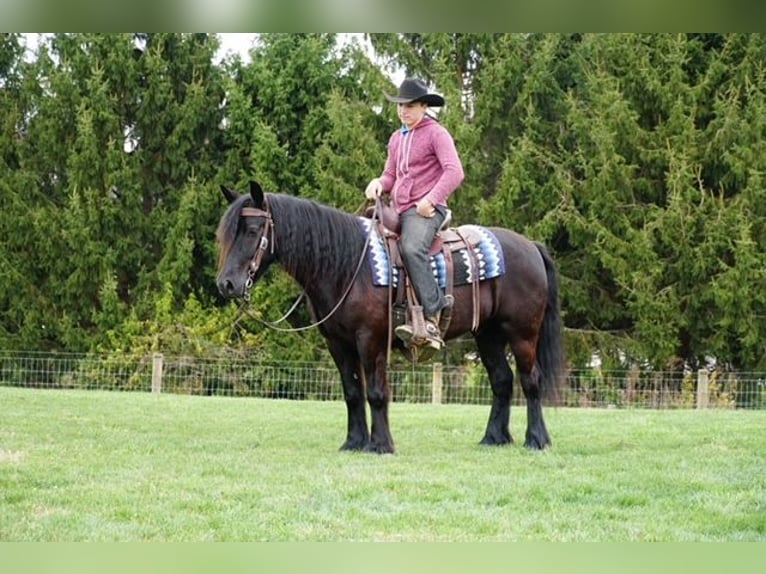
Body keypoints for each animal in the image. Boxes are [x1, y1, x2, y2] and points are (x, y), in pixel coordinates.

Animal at [216, 180, 565, 454]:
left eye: (252, 230)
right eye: (225, 235)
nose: (227, 284)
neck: (348, 266)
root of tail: (530, 246)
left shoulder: (370, 339)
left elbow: (376, 392)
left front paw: (381, 444)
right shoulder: (338, 343)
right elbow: (352, 393)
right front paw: (354, 442)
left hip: (522, 333)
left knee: (530, 380)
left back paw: (537, 440)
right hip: (488, 334)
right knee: (502, 380)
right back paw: (494, 438)